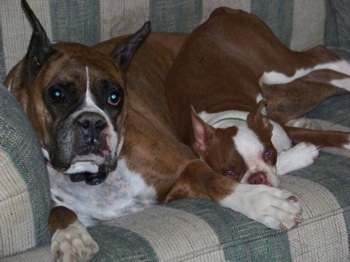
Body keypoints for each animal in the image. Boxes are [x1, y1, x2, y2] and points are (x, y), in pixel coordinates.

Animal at [165, 7, 350, 188]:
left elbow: (327, 135)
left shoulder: (284, 130)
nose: (257, 178)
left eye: (268, 153)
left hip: (278, 67)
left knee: (321, 54)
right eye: (229, 171)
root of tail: (218, 13)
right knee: (324, 75)